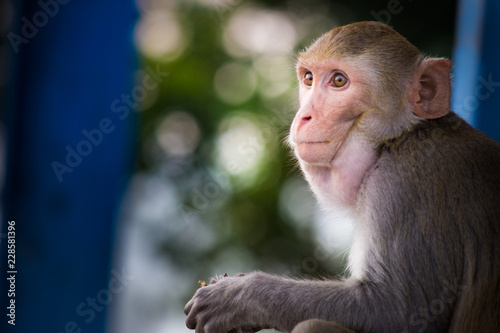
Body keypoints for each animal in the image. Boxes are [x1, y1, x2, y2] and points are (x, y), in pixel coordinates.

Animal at [184, 21, 500, 332]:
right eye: (308, 78)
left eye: (338, 81)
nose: (303, 117)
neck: (398, 138)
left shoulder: (403, 183)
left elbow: (397, 310)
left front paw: (236, 297)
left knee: (314, 325)